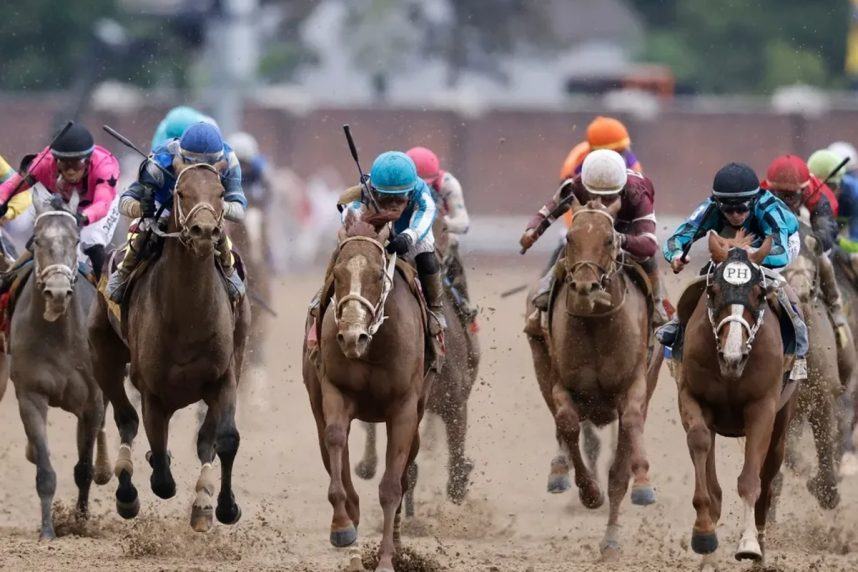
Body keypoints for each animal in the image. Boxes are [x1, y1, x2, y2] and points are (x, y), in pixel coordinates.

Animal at [11, 189, 111, 540]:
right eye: (37, 240)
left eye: (76, 239)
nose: (56, 292)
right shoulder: (31, 395)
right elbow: (44, 470)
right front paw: (47, 531)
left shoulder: (93, 400)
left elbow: (83, 470)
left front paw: (80, 523)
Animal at [90, 160, 251, 532]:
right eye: (181, 192)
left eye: (220, 192)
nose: (205, 231)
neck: (188, 316)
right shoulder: (152, 392)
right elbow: (161, 469)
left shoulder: (223, 378)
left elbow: (225, 440)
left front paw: (225, 507)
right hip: (102, 352)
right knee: (126, 419)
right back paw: (127, 493)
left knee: (204, 440)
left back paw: (202, 502)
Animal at [302, 219, 432, 572]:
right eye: (338, 273)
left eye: (376, 274)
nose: (351, 336)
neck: (374, 347)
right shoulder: (336, 391)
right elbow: (335, 440)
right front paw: (342, 527)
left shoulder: (404, 410)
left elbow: (391, 487)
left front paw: (387, 559)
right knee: (335, 454)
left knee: (405, 472)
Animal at [520, 198, 648, 560]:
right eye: (570, 238)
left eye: (608, 238)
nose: (585, 287)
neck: (596, 323)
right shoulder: (564, 384)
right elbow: (567, 424)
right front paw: (590, 492)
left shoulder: (634, 384)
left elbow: (621, 462)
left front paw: (612, 538)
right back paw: (559, 470)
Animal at [676, 231, 796, 564]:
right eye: (713, 290)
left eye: (759, 292)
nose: (733, 355)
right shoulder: (692, 396)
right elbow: (699, 442)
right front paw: (704, 533)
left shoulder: (762, 408)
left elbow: (751, 480)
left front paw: (749, 544)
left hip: (782, 420)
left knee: (769, 476)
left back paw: (761, 543)